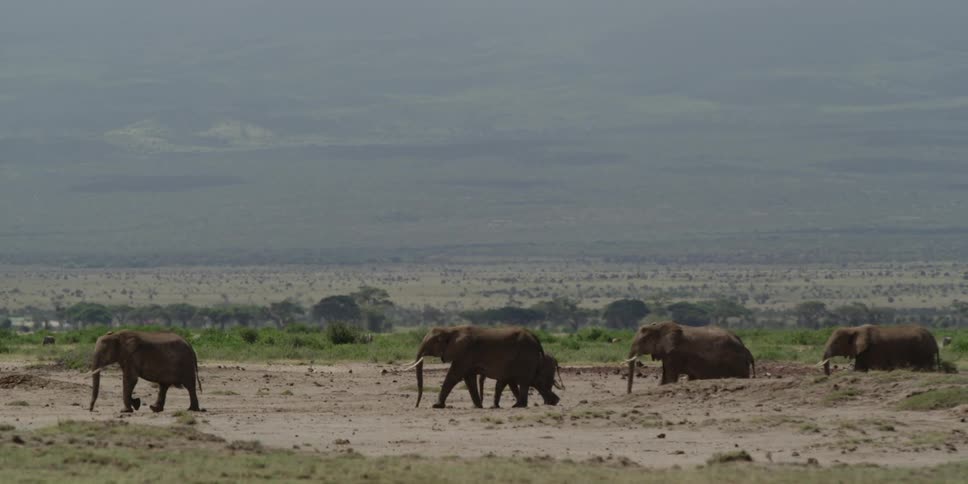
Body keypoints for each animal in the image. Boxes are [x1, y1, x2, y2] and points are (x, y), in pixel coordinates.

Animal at [402, 325, 547, 409]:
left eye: (434, 342)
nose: (416, 405)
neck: (450, 330)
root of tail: (536, 338)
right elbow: (469, 378)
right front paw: (478, 406)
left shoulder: (464, 351)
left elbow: (454, 375)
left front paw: (436, 405)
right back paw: (518, 404)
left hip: (526, 355)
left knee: (523, 381)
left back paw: (519, 405)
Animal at [625, 321, 755, 393]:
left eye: (643, 340)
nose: (629, 393)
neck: (658, 326)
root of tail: (746, 349)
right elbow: (665, 376)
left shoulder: (674, 353)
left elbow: (670, 377)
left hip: (737, 363)